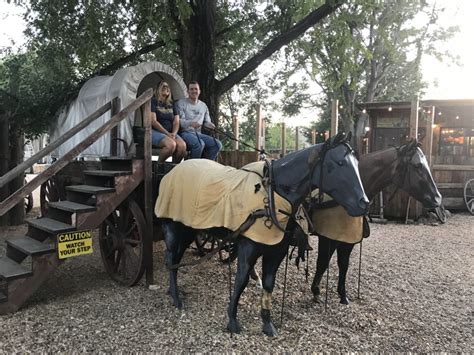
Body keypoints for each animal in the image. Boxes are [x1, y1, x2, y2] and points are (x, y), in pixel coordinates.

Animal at [157, 133, 368, 336]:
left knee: (175, 260)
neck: (272, 195)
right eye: (339, 163)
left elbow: (268, 284)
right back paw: (176, 297)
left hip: (189, 230)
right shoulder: (247, 249)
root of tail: (173, 171)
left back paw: (171, 291)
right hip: (175, 229)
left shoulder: (276, 252)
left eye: (357, 164)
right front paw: (232, 321)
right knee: (171, 258)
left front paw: (267, 324)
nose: (363, 203)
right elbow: (240, 281)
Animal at [312, 139, 440, 304]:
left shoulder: (348, 239)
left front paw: (343, 295)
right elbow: (322, 262)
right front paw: (316, 291)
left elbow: (343, 264)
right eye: (417, 165)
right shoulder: (328, 237)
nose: (437, 198)